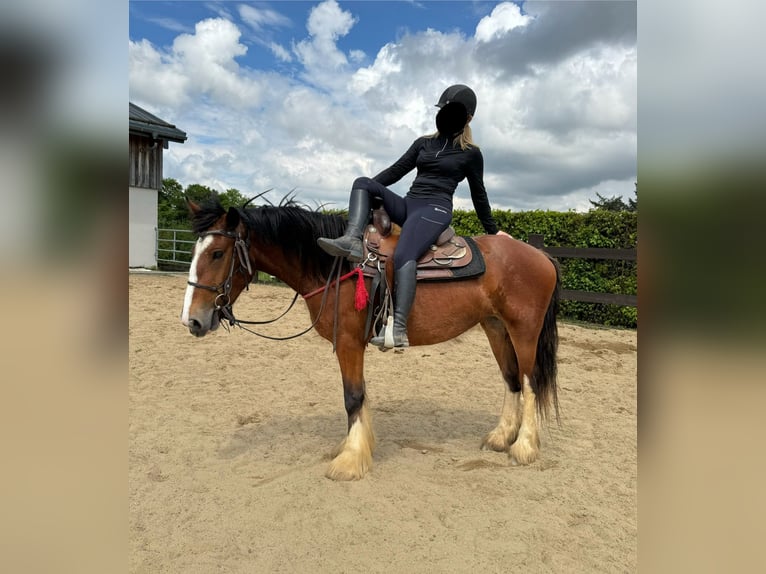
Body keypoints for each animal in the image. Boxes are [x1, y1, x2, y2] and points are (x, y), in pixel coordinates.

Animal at [181, 197, 564, 482]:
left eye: (217, 253)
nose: (193, 320)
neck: (337, 264)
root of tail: (542, 256)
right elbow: (359, 396)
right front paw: (355, 447)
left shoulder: (349, 342)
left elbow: (352, 397)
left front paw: (350, 460)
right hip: (495, 327)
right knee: (511, 379)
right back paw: (501, 437)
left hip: (523, 331)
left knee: (530, 382)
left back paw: (524, 447)